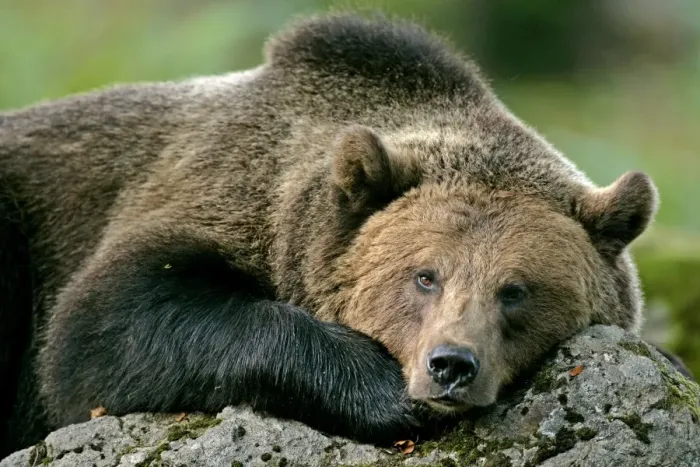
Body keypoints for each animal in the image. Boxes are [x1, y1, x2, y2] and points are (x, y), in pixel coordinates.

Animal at [0, 12, 659, 457]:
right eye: (425, 276)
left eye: (515, 290)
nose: (451, 364)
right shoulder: (205, 191)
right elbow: (102, 327)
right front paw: (383, 391)